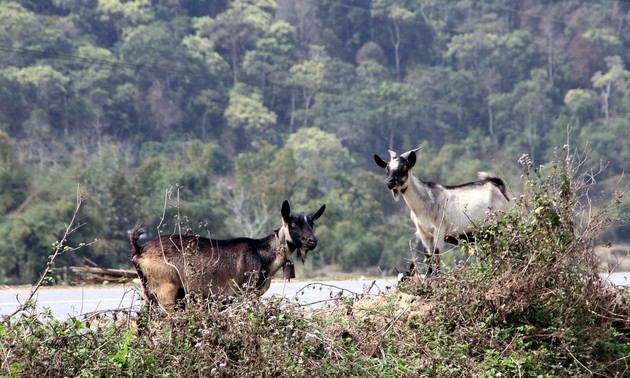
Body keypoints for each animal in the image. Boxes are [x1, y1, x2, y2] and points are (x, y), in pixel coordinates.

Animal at [378, 148, 512, 274]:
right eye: (387, 168)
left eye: (404, 167)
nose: (389, 182)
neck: (425, 201)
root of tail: (498, 188)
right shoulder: (423, 233)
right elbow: (428, 259)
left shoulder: (439, 230)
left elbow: (437, 257)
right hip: (487, 235)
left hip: (500, 227)